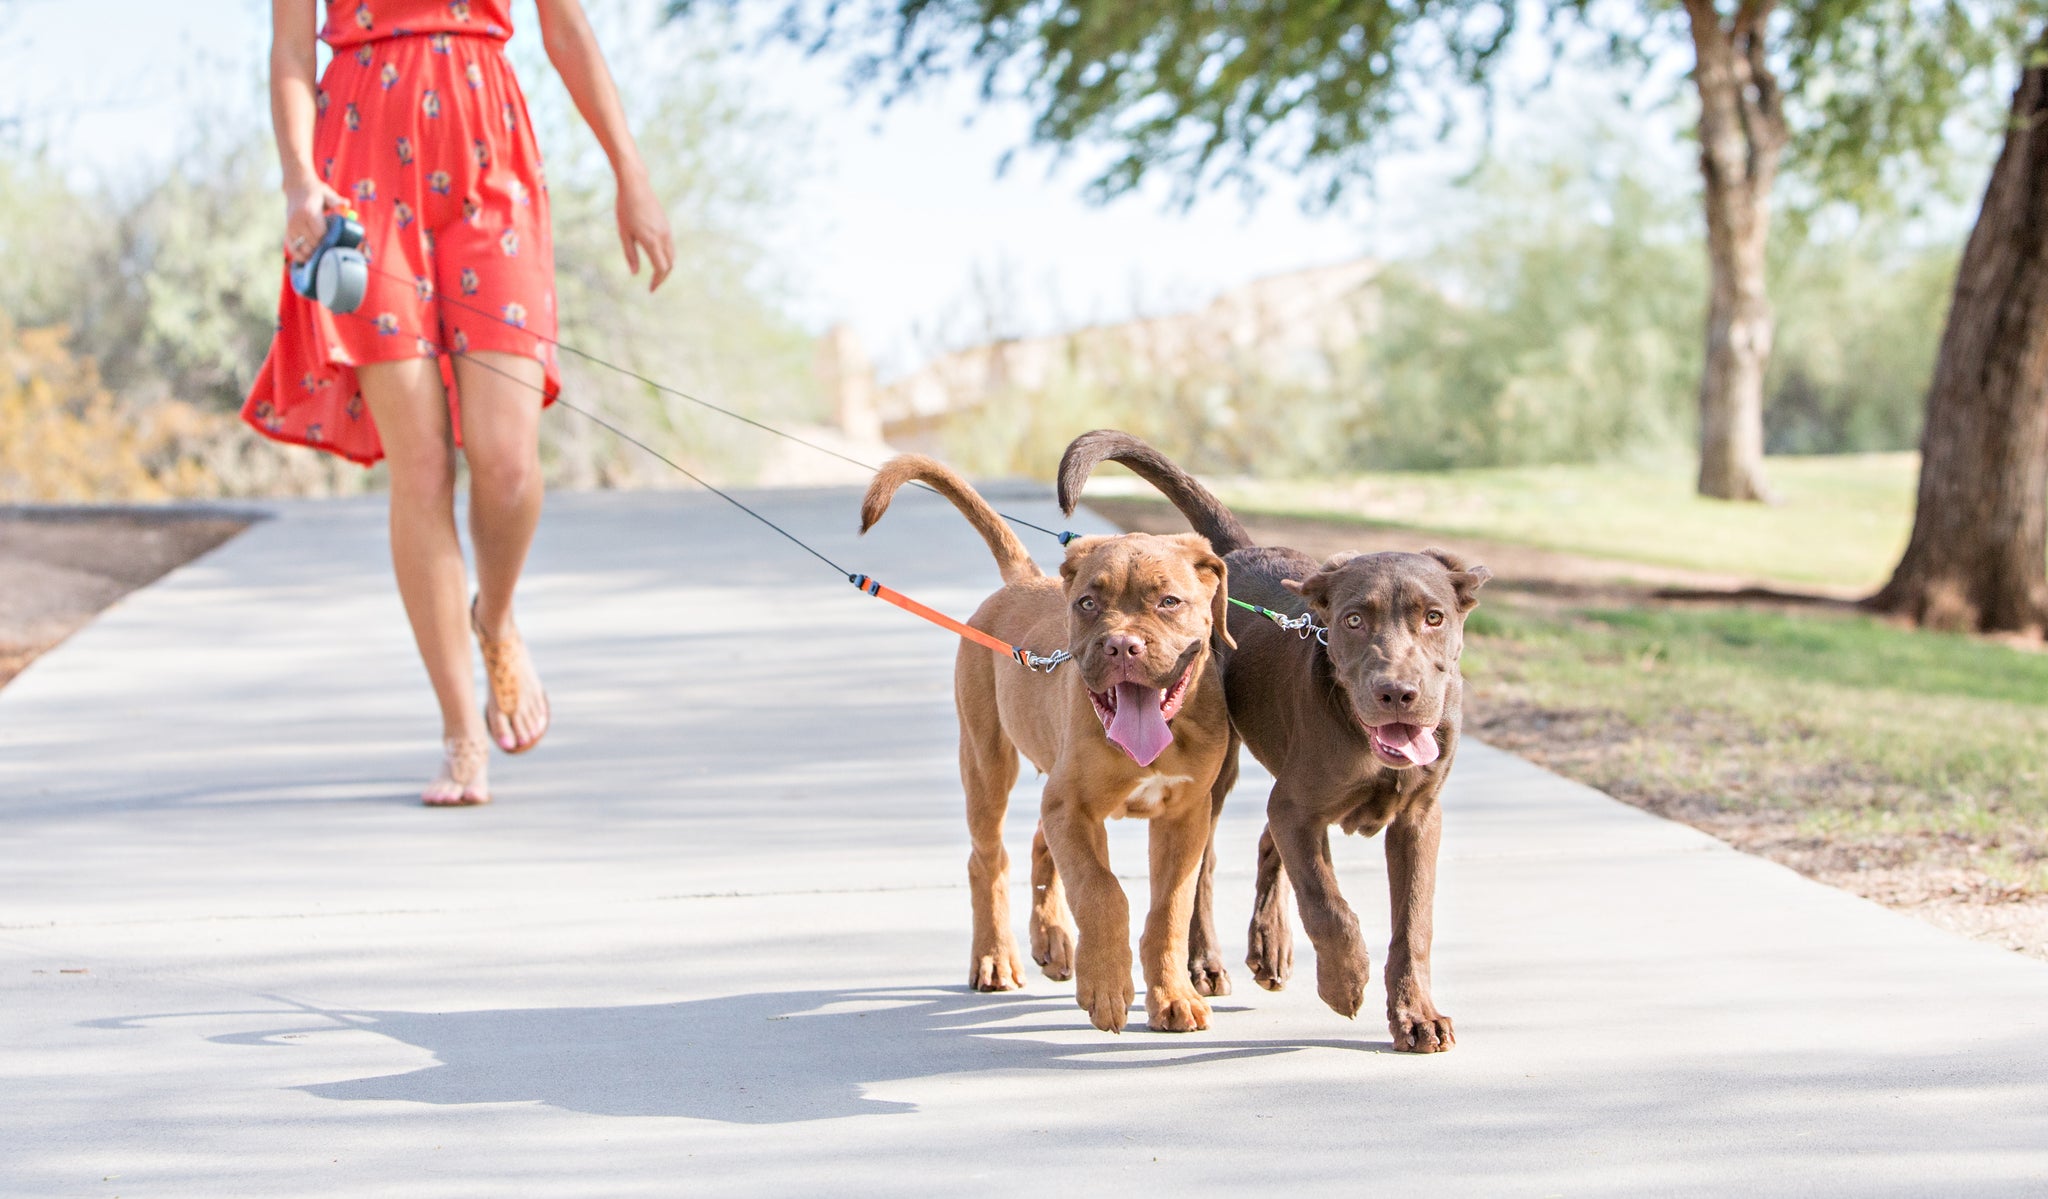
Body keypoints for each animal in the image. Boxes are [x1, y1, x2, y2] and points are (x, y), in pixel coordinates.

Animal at [860, 452, 1228, 1032]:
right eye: (1087, 603)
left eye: (1169, 601)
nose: (1122, 645)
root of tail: (1025, 581)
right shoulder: (1073, 807)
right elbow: (1102, 892)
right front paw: (1106, 987)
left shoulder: (1184, 816)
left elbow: (1168, 909)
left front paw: (1172, 995)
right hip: (986, 763)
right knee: (987, 860)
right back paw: (995, 958)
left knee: (1037, 841)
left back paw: (1052, 941)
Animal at [1056, 430, 1490, 1049]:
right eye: (1353, 620)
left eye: (1434, 617)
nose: (1397, 693)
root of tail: (1239, 550)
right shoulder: (1299, 807)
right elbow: (1327, 902)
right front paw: (1344, 981)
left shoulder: (1418, 817)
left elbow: (1412, 924)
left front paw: (1416, 1015)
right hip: (1222, 774)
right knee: (1207, 867)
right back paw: (1207, 962)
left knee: (1266, 842)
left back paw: (1270, 944)